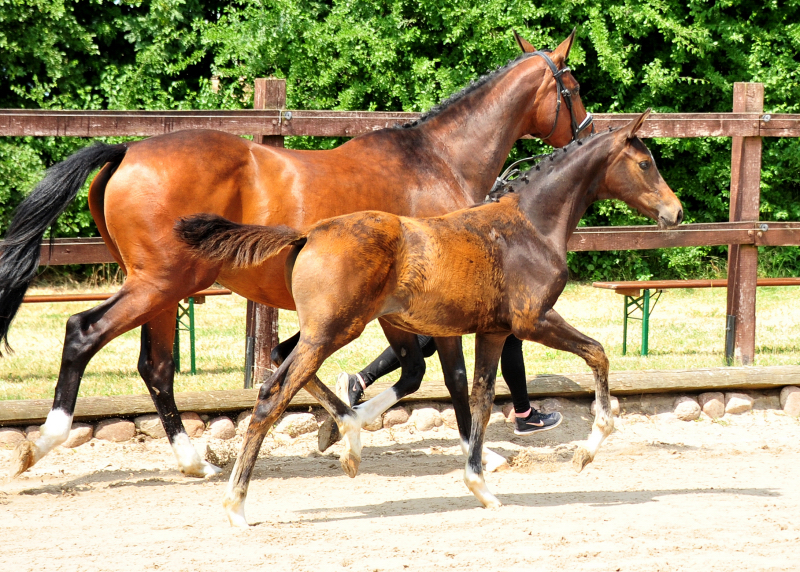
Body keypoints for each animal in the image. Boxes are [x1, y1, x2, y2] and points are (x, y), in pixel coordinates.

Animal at [0, 31, 592, 478]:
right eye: (575, 87)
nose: (587, 135)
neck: (437, 160)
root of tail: (127, 150)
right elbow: (443, 375)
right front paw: (478, 453)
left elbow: (403, 369)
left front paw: (342, 424)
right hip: (157, 284)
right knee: (83, 333)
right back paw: (42, 443)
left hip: (166, 290)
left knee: (157, 367)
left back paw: (197, 461)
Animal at [178, 109, 684, 524]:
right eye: (645, 164)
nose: (676, 212)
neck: (532, 226)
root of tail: (307, 235)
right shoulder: (533, 320)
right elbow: (597, 354)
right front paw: (585, 452)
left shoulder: (494, 332)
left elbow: (480, 399)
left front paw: (481, 486)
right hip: (334, 331)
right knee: (271, 396)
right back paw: (237, 505)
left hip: (354, 328)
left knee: (291, 375)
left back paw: (346, 439)